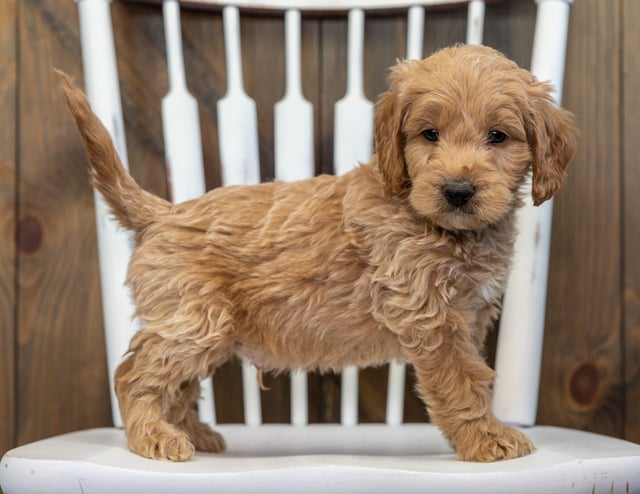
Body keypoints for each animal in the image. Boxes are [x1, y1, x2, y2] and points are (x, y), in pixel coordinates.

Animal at [60, 45, 576, 464]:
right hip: (192, 321)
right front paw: (486, 439)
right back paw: (152, 435)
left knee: (179, 385)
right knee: (135, 373)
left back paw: (193, 433)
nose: (458, 191)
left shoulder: (470, 317)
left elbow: (476, 378)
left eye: (498, 137)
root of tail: (163, 212)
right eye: (429, 134)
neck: (446, 229)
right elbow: (461, 382)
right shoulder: (430, 317)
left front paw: (482, 433)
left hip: (207, 331)